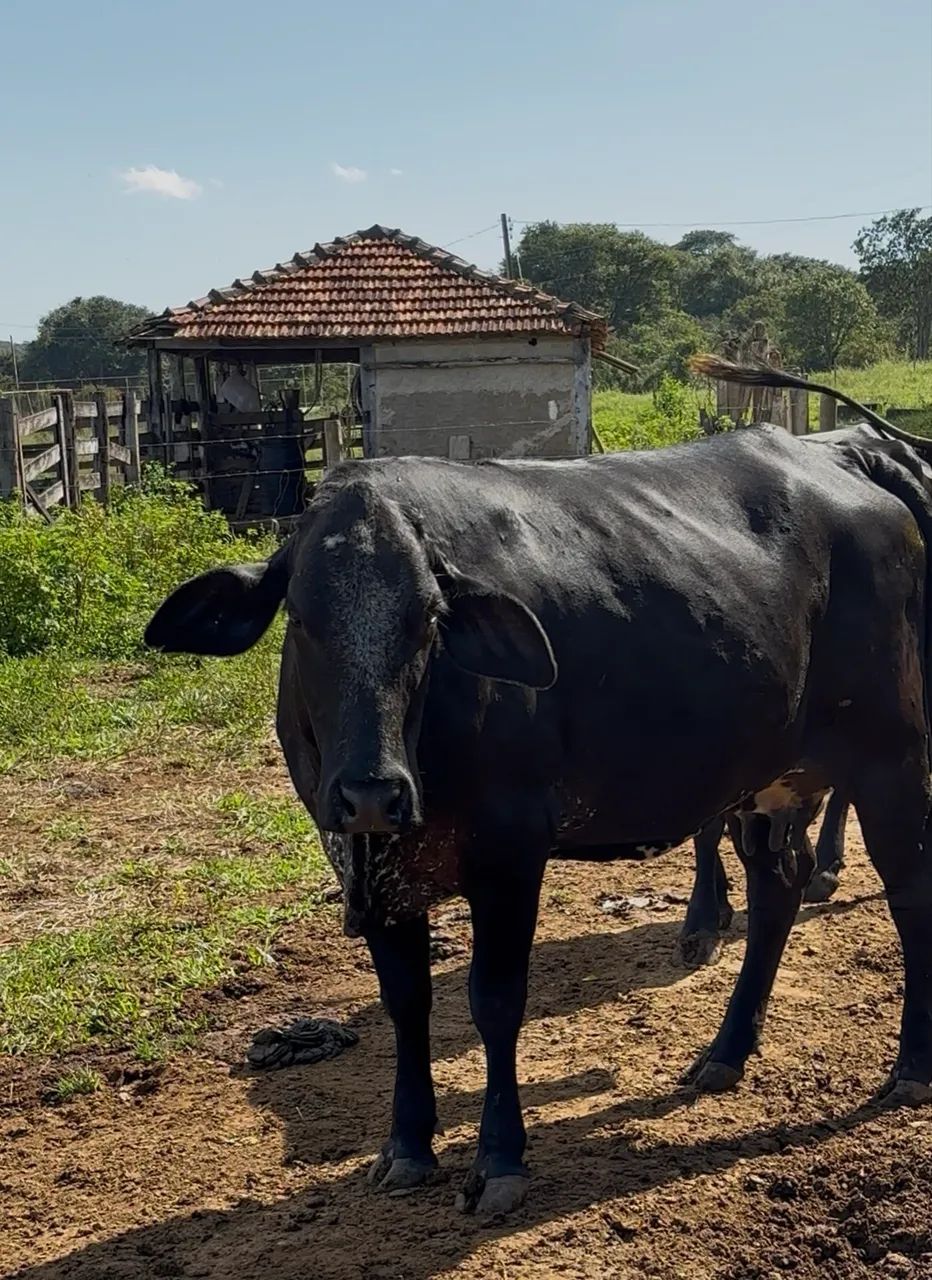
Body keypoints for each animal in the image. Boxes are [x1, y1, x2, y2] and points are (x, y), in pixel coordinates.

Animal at [146, 408, 932, 1217]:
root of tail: (850, 469)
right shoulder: (371, 865)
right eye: (300, 618)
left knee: (909, 893)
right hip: (768, 781)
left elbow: (495, 1001)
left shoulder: (509, 854)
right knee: (776, 893)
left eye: (428, 620)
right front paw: (407, 1144)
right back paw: (724, 1052)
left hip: (891, 753)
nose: (371, 790)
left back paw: (910, 1067)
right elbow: (406, 1002)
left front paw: (499, 1158)